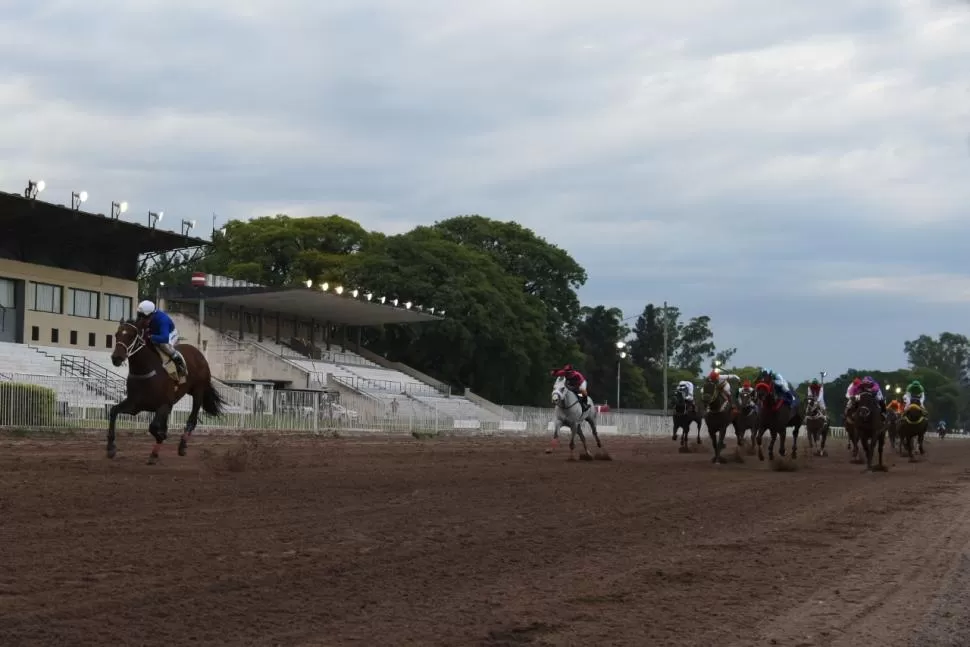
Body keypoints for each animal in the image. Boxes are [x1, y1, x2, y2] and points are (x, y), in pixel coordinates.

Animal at [108, 320, 225, 464]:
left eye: (131, 335)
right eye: (117, 334)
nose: (116, 358)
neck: (147, 370)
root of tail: (199, 353)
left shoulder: (164, 405)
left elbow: (154, 427)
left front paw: (162, 438)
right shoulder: (135, 405)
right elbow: (113, 411)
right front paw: (111, 448)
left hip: (198, 391)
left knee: (192, 420)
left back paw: (182, 446)